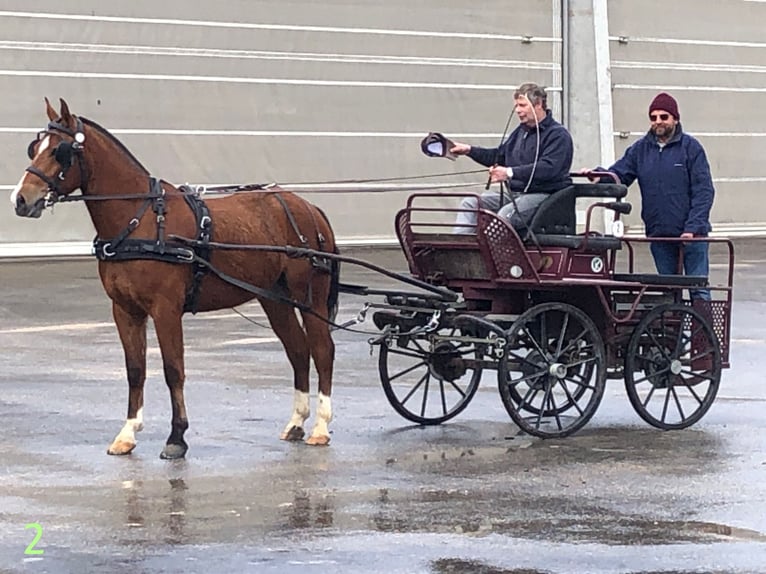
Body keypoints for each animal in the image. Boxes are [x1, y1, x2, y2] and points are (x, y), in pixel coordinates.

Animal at [11, 98, 342, 460]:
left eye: (60, 151)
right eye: (34, 148)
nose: (21, 199)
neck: (139, 220)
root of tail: (308, 207)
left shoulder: (166, 309)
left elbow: (173, 370)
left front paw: (177, 437)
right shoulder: (125, 310)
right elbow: (135, 370)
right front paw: (128, 433)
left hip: (310, 297)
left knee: (322, 349)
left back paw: (321, 428)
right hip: (274, 299)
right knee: (298, 350)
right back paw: (296, 422)